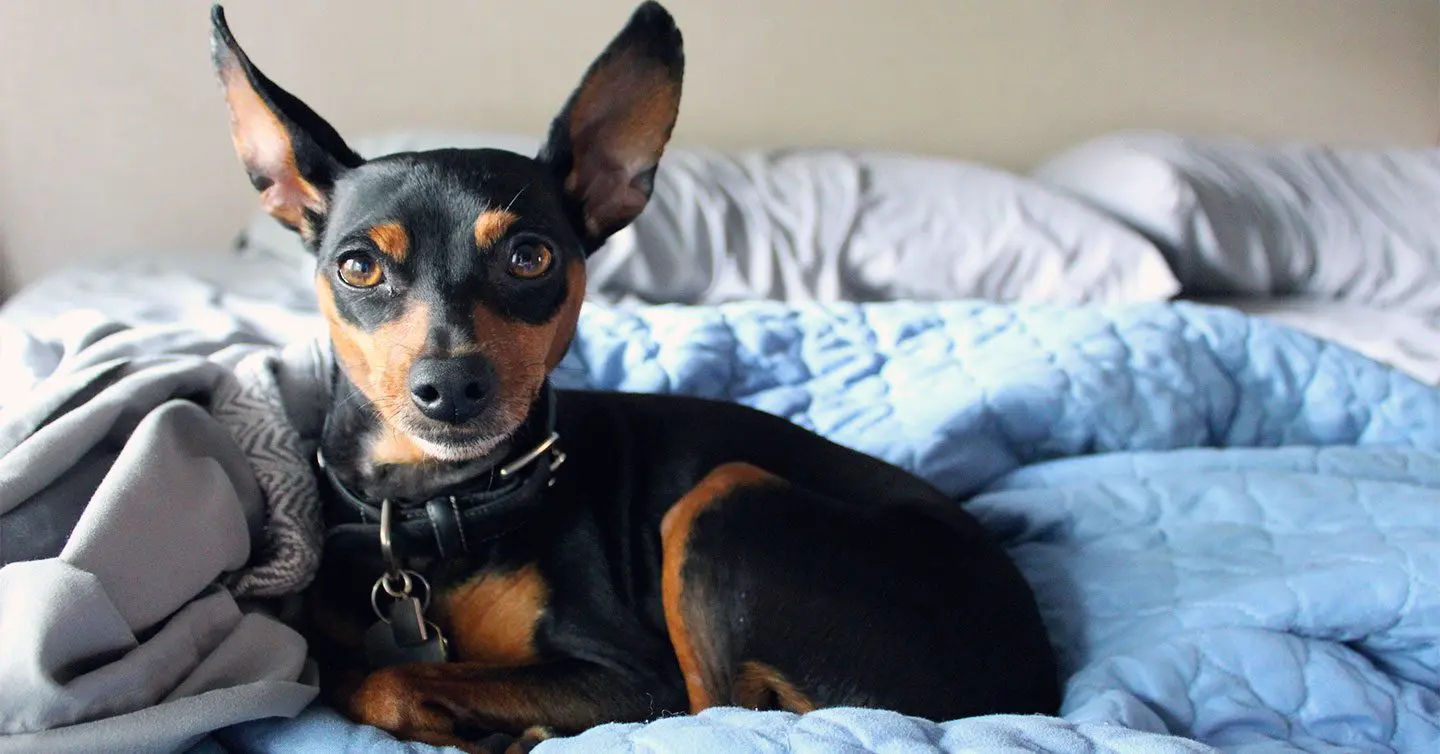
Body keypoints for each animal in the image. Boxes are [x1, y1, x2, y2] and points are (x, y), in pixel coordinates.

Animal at [208, 2, 1059, 748]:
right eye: (357, 267)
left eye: (530, 257)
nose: (451, 387)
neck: (433, 510)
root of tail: (1035, 694)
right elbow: (340, 670)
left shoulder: (633, 679)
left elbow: (381, 680)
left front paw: (469, 727)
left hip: (726, 498)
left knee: (719, 712)